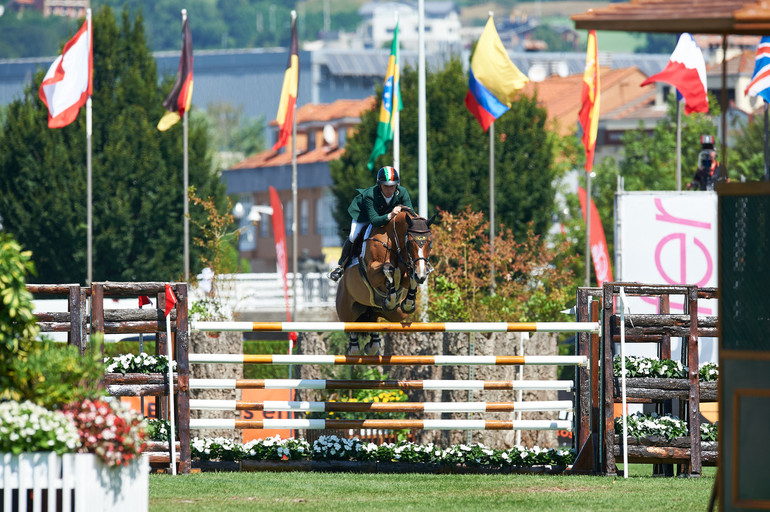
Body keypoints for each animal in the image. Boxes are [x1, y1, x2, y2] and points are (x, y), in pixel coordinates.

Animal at [334, 208, 436, 356]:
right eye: (410, 243)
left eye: (430, 243)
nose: (421, 275)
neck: (394, 240)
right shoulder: (372, 273)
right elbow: (388, 268)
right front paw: (390, 299)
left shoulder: (407, 273)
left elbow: (409, 277)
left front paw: (407, 303)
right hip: (346, 309)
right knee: (352, 325)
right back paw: (354, 347)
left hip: (394, 314)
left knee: (374, 320)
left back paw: (373, 344)